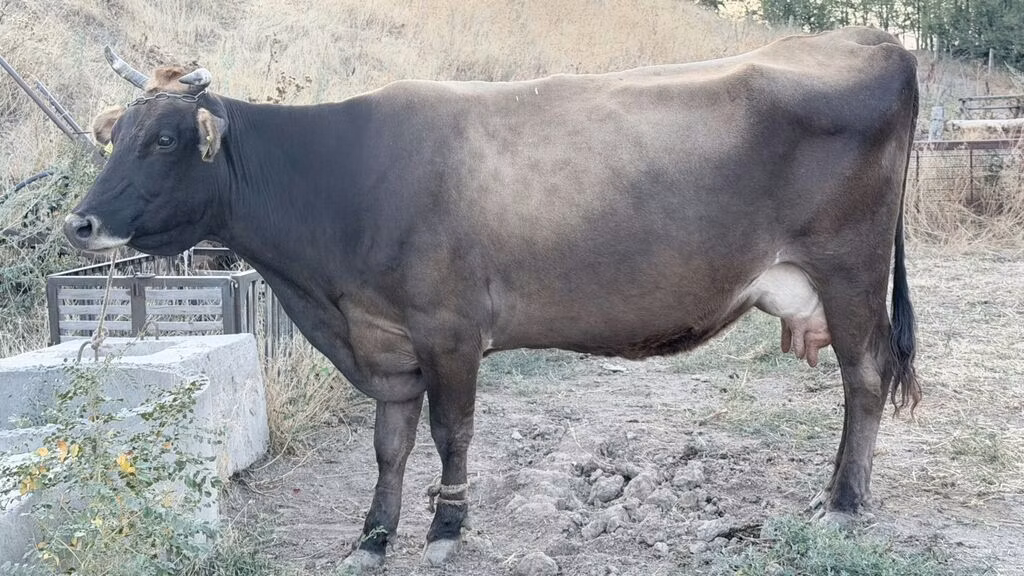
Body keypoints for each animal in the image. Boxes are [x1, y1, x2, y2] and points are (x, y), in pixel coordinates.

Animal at [65, 27, 920, 570]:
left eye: (165, 139)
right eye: (116, 136)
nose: (80, 223)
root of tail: (872, 40)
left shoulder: (449, 330)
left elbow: (452, 433)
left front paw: (446, 526)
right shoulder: (384, 340)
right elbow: (390, 443)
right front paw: (373, 537)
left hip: (850, 272)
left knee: (865, 378)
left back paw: (843, 502)